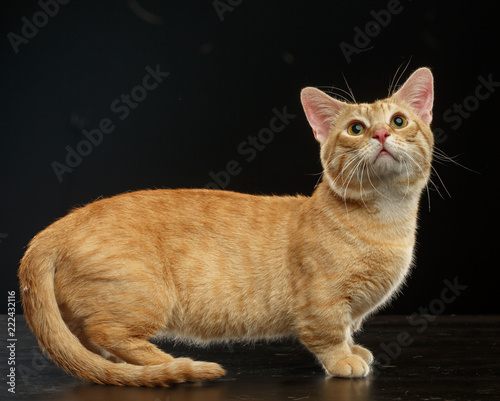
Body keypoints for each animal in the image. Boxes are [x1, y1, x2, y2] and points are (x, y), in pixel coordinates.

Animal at [18, 67, 434, 386]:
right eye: (356, 128)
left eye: (398, 121)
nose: (381, 134)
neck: (388, 222)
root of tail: (58, 225)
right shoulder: (321, 303)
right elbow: (331, 333)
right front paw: (344, 360)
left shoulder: (350, 309)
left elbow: (348, 329)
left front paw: (354, 349)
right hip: (142, 295)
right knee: (104, 333)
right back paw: (164, 362)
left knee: (86, 340)